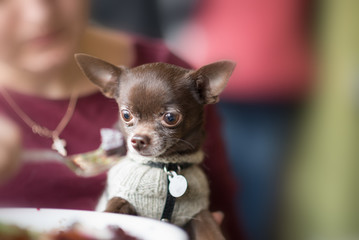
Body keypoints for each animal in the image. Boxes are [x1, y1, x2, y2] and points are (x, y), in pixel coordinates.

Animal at [76, 53, 236, 239]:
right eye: (126, 115)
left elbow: (209, 228)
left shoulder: (197, 212)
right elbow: (114, 207)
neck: (165, 166)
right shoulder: (122, 197)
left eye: (170, 118)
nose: (138, 140)